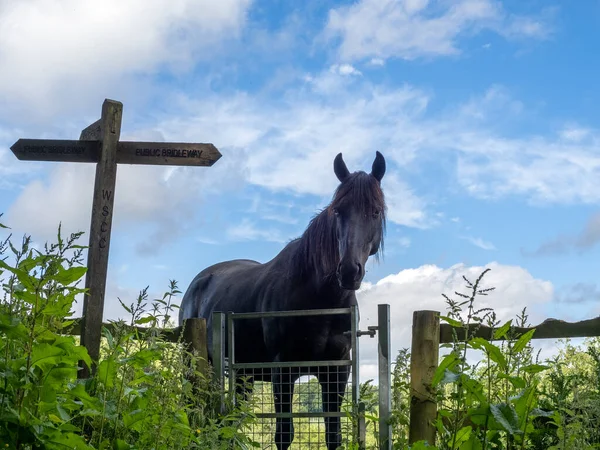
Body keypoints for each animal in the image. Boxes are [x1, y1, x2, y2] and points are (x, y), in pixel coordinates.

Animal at [178, 152, 386, 450]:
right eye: (338, 211)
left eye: (375, 211)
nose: (348, 271)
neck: (318, 301)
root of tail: (197, 283)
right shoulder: (283, 371)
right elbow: (284, 434)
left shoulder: (336, 372)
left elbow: (333, 435)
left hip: (243, 376)